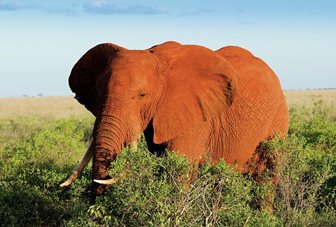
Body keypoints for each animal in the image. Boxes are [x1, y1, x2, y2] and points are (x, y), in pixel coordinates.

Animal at [60, 40, 288, 195]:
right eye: (99, 92)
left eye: (142, 95)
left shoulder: (196, 118)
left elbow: (178, 172)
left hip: (277, 120)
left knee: (266, 177)